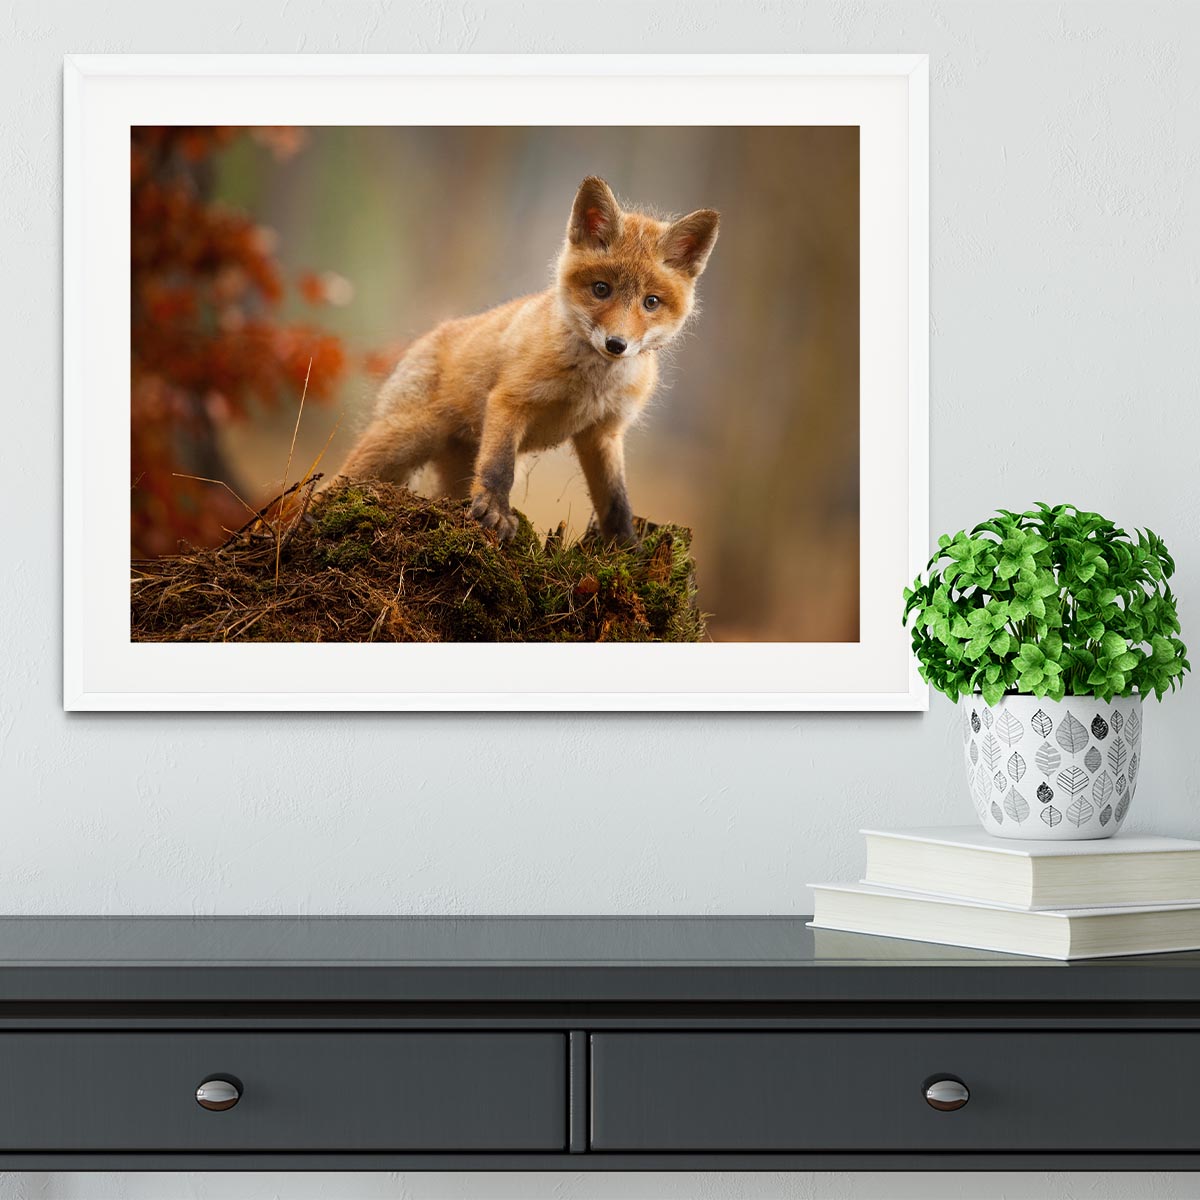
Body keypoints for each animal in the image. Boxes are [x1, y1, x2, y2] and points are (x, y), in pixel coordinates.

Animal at [334, 176, 719, 545]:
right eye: (601, 289)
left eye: (651, 302)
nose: (616, 344)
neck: (591, 385)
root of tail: (427, 337)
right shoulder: (511, 400)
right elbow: (500, 468)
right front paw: (495, 513)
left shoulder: (603, 433)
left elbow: (616, 502)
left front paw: (627, 549)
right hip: (402, 440)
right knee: (337, 482)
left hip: (453, 467)